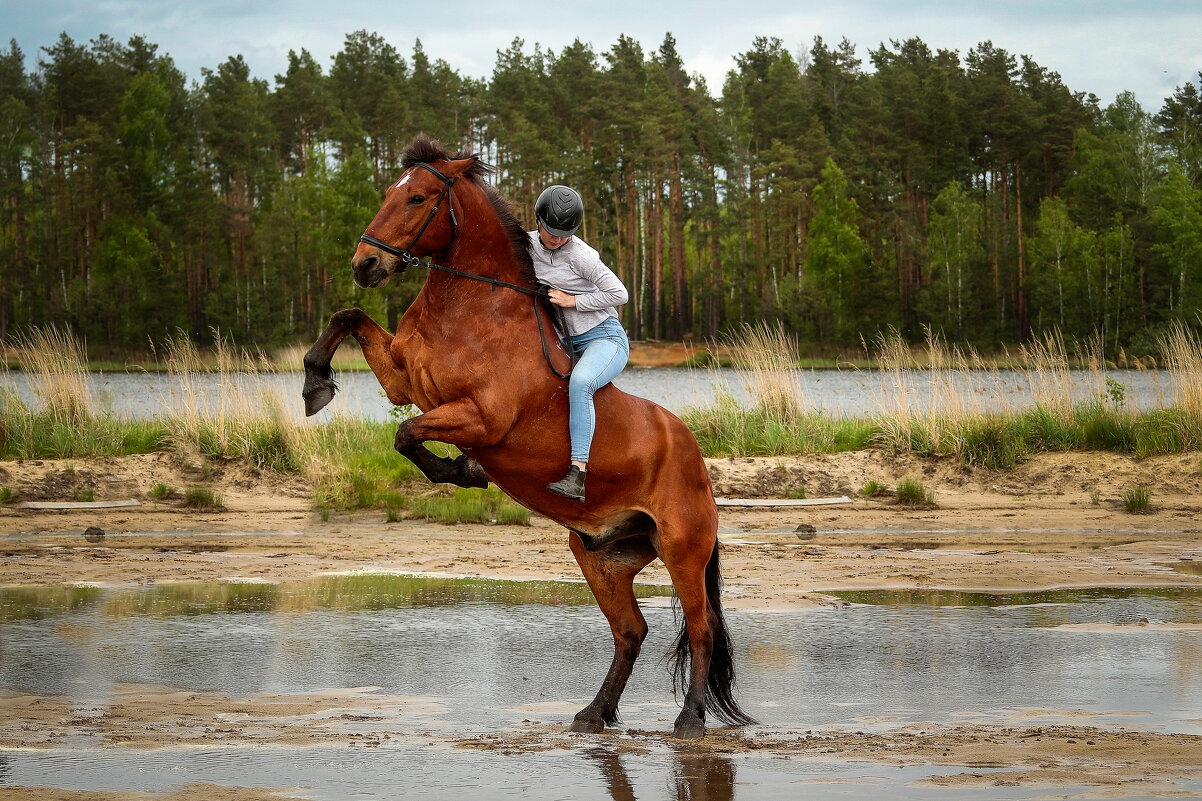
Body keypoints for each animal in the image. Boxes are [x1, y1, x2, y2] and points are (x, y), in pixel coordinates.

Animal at [302, 132, 750, 736]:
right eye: (391, 192)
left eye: (417, 198)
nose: (365, 263)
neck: (472, 309)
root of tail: (695, 456)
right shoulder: (404, 380)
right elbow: (348, 319)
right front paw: (314, 382)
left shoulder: (480, 417)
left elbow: (408, 435)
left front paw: (462, 470)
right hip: (602, 556)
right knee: (630, 631)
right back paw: (594, 713)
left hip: (683, 551)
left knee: (700, 630)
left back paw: (690, 720)